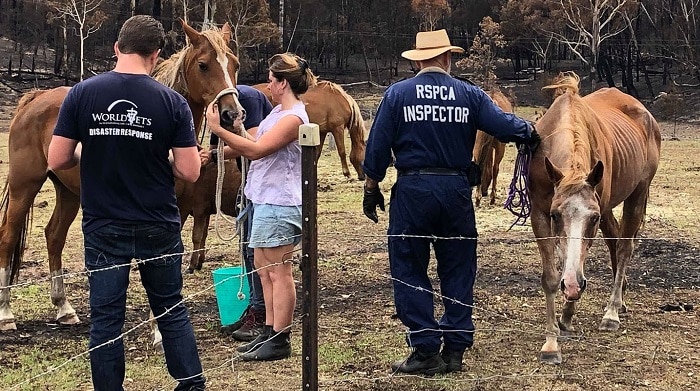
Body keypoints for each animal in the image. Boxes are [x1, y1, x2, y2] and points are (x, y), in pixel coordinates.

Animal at [0, 21, 243, 332]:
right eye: (203, 65)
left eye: (234, 64)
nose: (232, 115)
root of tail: (36, 98)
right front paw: (157, 330)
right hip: (25, 186)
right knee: (8, 237)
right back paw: (6, 313)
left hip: (68, 192)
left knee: (54, 236)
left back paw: (64, 308)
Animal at [532, 72, 660, 364]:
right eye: (556, 215)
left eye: (592, 218)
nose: (572, 286)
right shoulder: (539, 215)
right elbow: (552, 277)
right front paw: (551, 343)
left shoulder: (598, 211)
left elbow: (577, 262)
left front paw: (568, 312)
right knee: (614, 241)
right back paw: (619, 300)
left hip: (637, 194)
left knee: (624, 247)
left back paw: (612, 312)